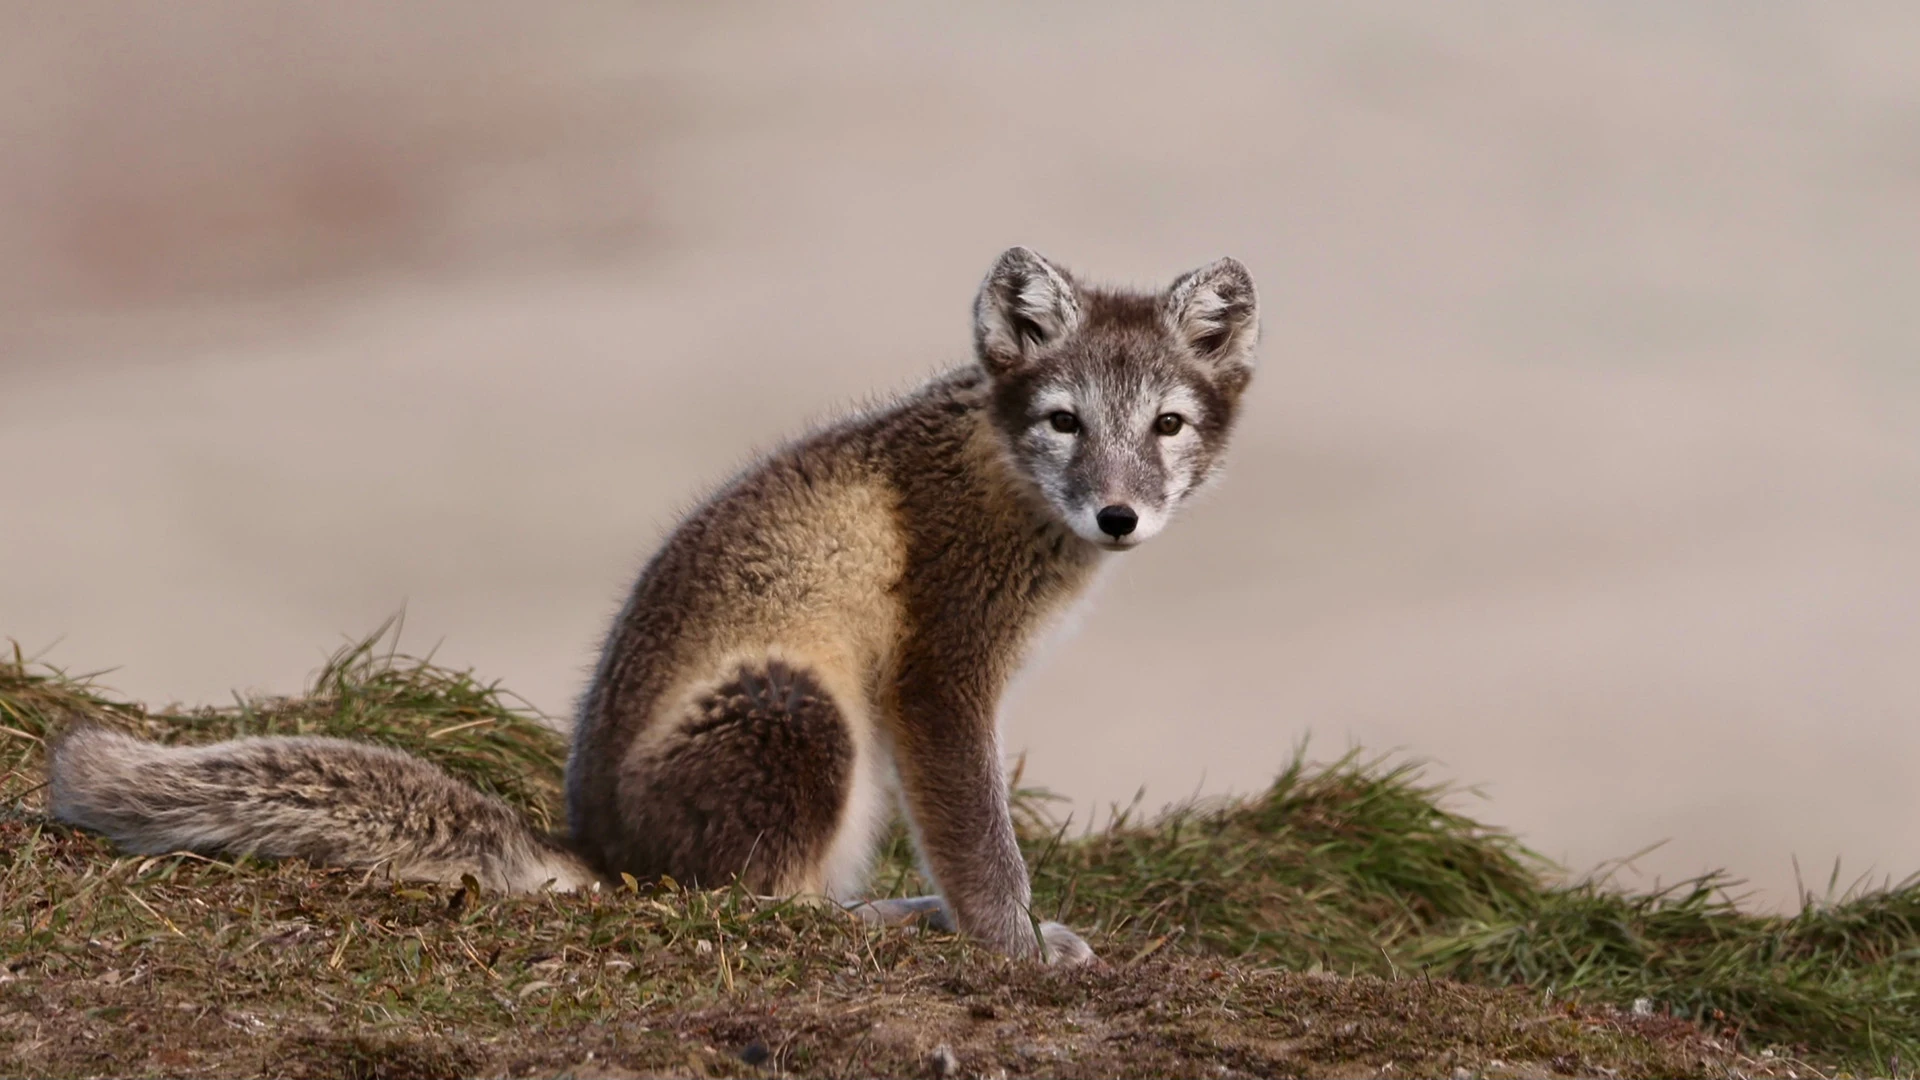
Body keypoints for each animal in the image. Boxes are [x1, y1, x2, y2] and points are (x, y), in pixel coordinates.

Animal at [46, 247, 1260, 964]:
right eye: (1064, 420)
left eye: (1166, 424)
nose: (1117, 515)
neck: (1000, 473)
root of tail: (603, 852)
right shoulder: (938, 679)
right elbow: (980, 843)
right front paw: (1014, 947)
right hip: (797, 708)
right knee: (750, 902)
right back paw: (888, 917)